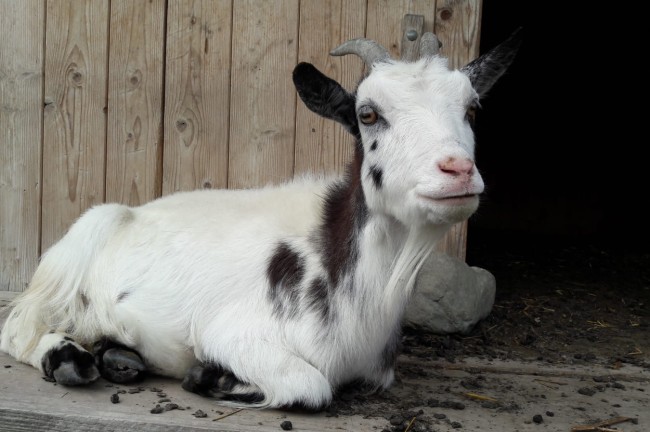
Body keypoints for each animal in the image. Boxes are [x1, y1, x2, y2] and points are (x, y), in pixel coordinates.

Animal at [0, 29, 521, 410]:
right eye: (368, 114)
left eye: (471, 107)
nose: (457, 170)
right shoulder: (233, 331)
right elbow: (309, 386)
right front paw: (210, 376)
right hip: (70, 255)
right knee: (18, 327)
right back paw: (68, 360)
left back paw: (117, 357)